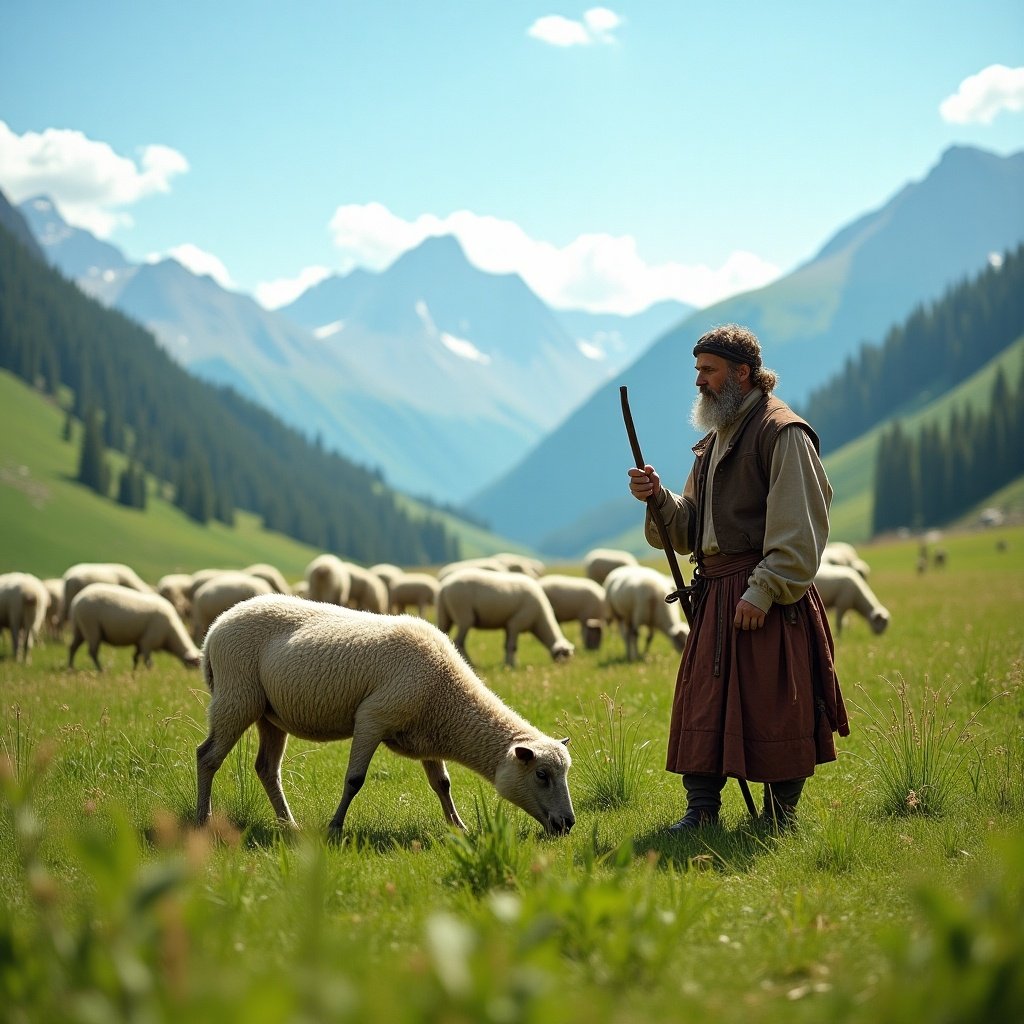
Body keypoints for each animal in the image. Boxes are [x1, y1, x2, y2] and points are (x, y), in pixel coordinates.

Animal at [68, 585, 201, 671]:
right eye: (196, 665)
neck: (170, 634)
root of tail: (76, 600)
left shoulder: (140, 642)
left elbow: (135, 658)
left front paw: (134, 672)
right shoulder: (148, 641)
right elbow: (148, 661)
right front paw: (150, 673)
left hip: (80, 628)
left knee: (73, 647)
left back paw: (71, 667)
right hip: (91, 627)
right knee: (92, 652)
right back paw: (101, 670)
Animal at [195, 593, 573, 839]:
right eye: (541, 775)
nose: (568, 824)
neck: (447, 694)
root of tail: (214, 628)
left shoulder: (427, 734)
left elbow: (442, 784)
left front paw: (458, 827)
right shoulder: (372, 718)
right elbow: (354, 780)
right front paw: (335, 828)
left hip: (269, 714)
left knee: (266, 768)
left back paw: (289, 824)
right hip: (236, 696)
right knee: (207, 756)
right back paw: (202, 820)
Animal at [434, 565, 577, 667]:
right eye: (564, 656)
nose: (564, 668)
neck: (539, 619)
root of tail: (444, 587)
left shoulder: (508, 625)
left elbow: (506, 645)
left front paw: (507, 663)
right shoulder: (517, 623)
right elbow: (512, 646)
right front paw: (512, 665)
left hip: (444, 615)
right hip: (463, 615)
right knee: (459, 642)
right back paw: (470, 663)